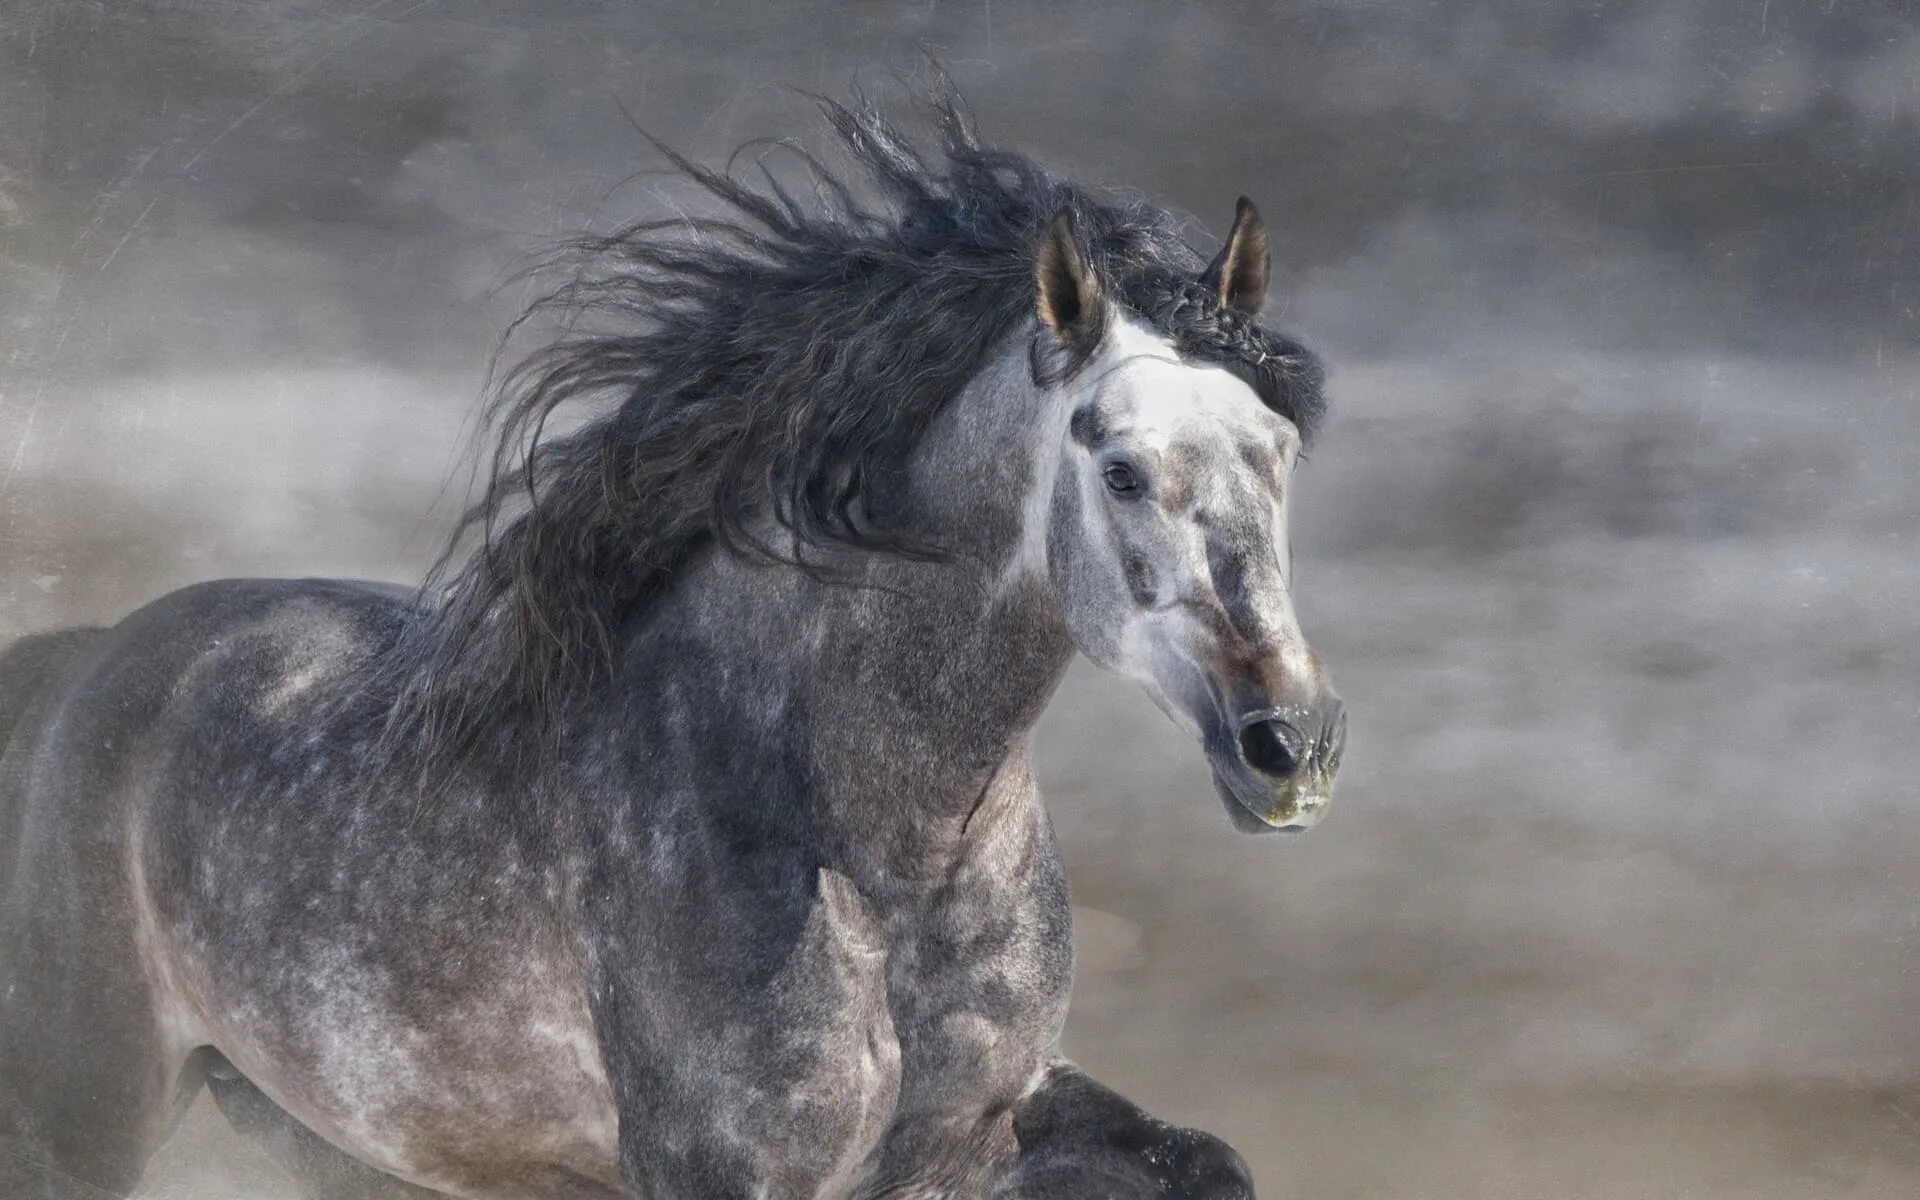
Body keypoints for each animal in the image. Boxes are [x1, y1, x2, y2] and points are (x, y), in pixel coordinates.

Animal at [0, 86, 1344, 1198]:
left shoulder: (971, 1140)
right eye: (1120, 469)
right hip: (86, 1115)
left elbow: (1202, 1162)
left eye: (1280, 448)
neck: (882, 850)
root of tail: (87, 664)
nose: (1292, 745)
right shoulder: (723, 1171)